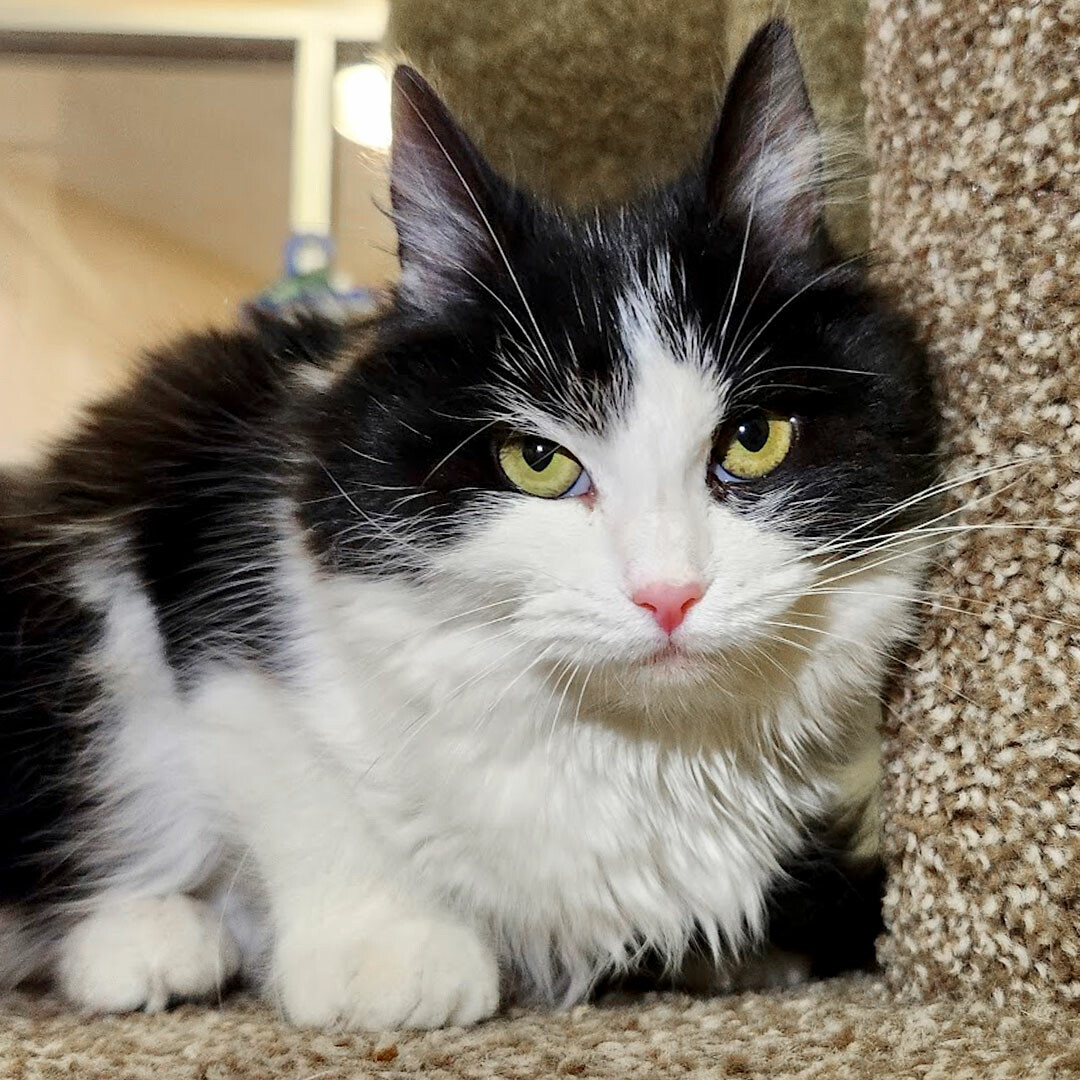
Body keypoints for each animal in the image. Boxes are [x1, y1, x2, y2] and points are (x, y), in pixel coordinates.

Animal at [0, 21, 938, 1029]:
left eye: (754, 440)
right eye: (538, 462)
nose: (669, 595)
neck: (625, 749)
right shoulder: (210, 553)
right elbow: (288, 763)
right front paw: (383, 948)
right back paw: (153, 940)